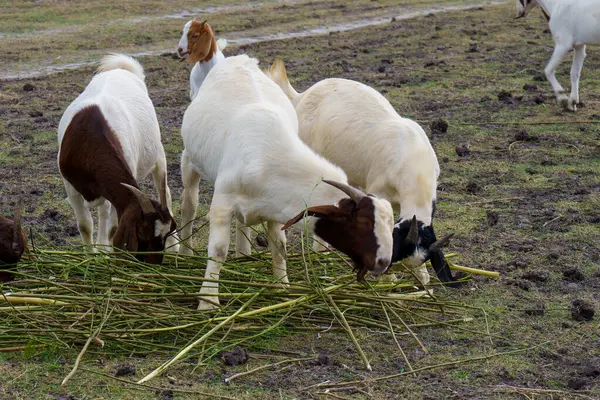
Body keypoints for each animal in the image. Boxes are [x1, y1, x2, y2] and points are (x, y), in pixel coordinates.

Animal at [56, 54, 178, 266]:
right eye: (142, 234)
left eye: (163, 237)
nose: (154, 264)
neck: (89, 139)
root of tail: (121, 68)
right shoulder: (70, 187)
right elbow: (85, 225)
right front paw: (91, 258)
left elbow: (113, 229)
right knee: (103, 209)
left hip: (158, 154)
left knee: (166, 192)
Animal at [178, 54, 394, 310]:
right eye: (362, 224)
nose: (384, 263)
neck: (268, 155)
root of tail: (241, 59)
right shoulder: (223, 201)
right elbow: (218, 250)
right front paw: (208, 301)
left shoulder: (273, 206)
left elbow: (279, 245)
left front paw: (283, 287)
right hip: (189, 160)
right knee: (189, 204)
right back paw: (185, 253)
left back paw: (243, 254)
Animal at [264, 60, 458, 288]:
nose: (385, 270)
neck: (414, 164)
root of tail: (302, 96)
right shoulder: (379, 191)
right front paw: (388, 279)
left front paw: (422, 277)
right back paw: (321, 252)